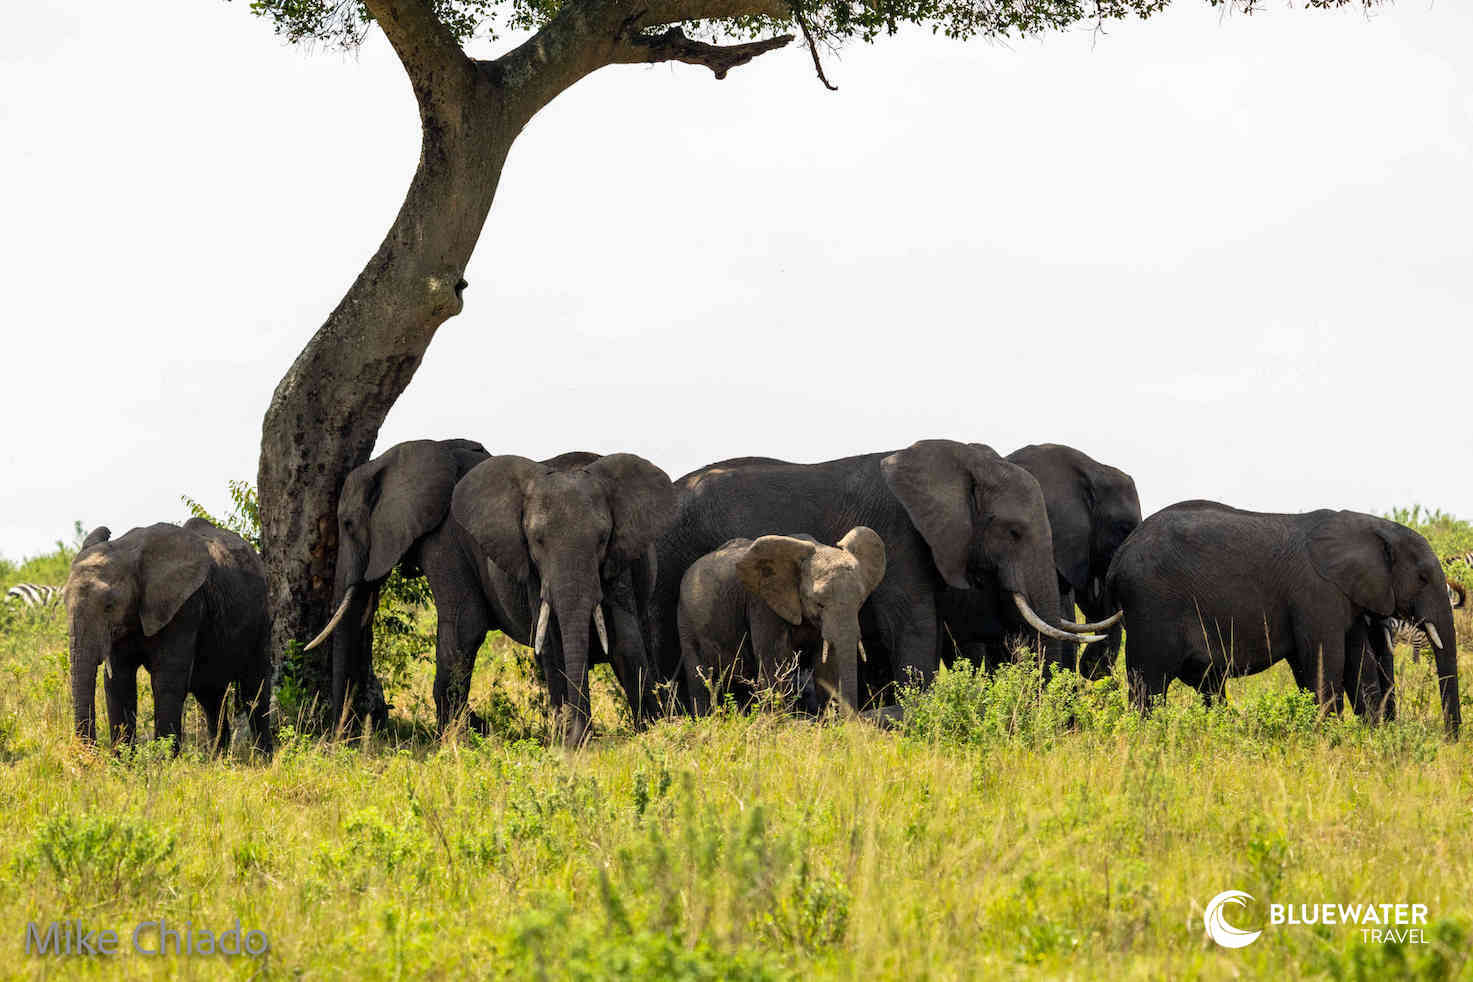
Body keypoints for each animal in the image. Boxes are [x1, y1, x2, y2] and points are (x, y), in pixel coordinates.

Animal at [63, 521, 273, 753]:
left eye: (109, 606)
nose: (90, 753)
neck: (127, 551)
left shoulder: (185, 607)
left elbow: (167, 680)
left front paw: (162, 759)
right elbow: (118, 682)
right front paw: (122, 761)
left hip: (260, 617)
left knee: (254, 690)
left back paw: (263, 757)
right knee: (211, 697)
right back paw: (218, 757)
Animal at [450, 450, 674, 744]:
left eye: (603, 539)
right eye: (536, 540)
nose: (580, 734)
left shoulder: (619, 560)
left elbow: (626, 641)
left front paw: (651, 731)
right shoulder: (535, 574)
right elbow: (552, 646)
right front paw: (569, 740)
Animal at [677, 530, 883, 715]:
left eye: (860, 602)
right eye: (818, 603)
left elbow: (827, 666)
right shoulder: (762, 603)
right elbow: (774, 663)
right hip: (686, 622)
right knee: (699, 678)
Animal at [1107, 503, 1461, 733]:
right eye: (1423, 578)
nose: (1451, 739)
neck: (1368, 527)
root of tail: (1119, 556)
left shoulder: (1345, 596)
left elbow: (1356, 664)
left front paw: (1367, 735)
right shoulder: (1317, 594)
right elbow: (1326, 661)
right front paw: (1329, 737)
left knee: (1206, 685)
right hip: (1151, 606)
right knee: (1148, 685)